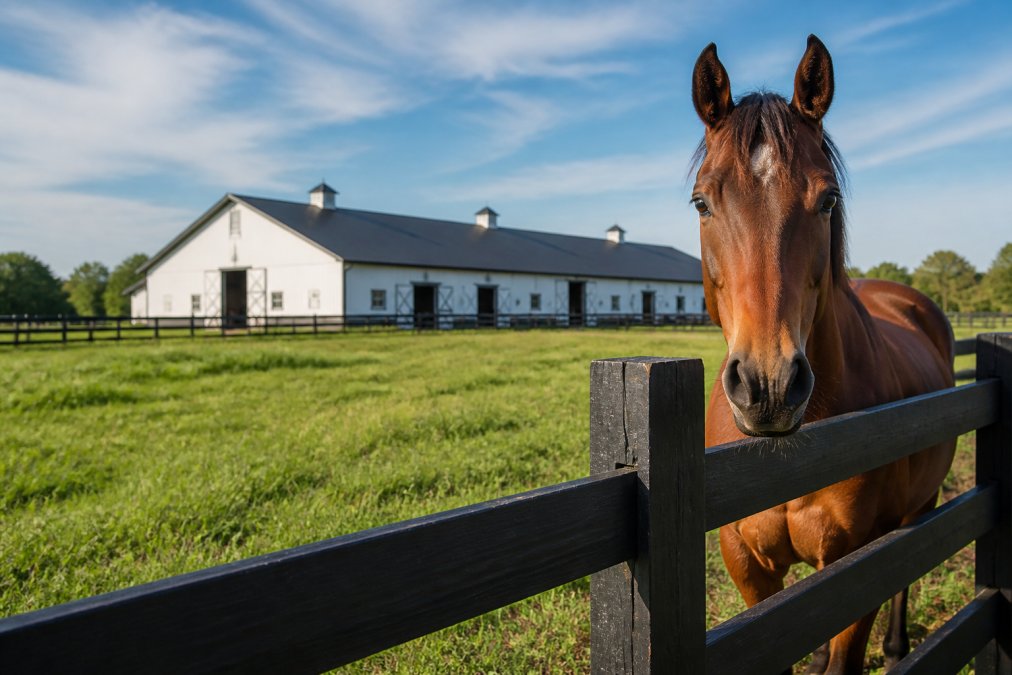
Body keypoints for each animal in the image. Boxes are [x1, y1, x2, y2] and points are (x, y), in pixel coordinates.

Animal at [690, 35, 956, 674]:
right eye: (702, 203)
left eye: (828, 199)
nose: (768, 386)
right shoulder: (749, 568)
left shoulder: (855, 561)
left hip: (918, 506)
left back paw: (897, 645)